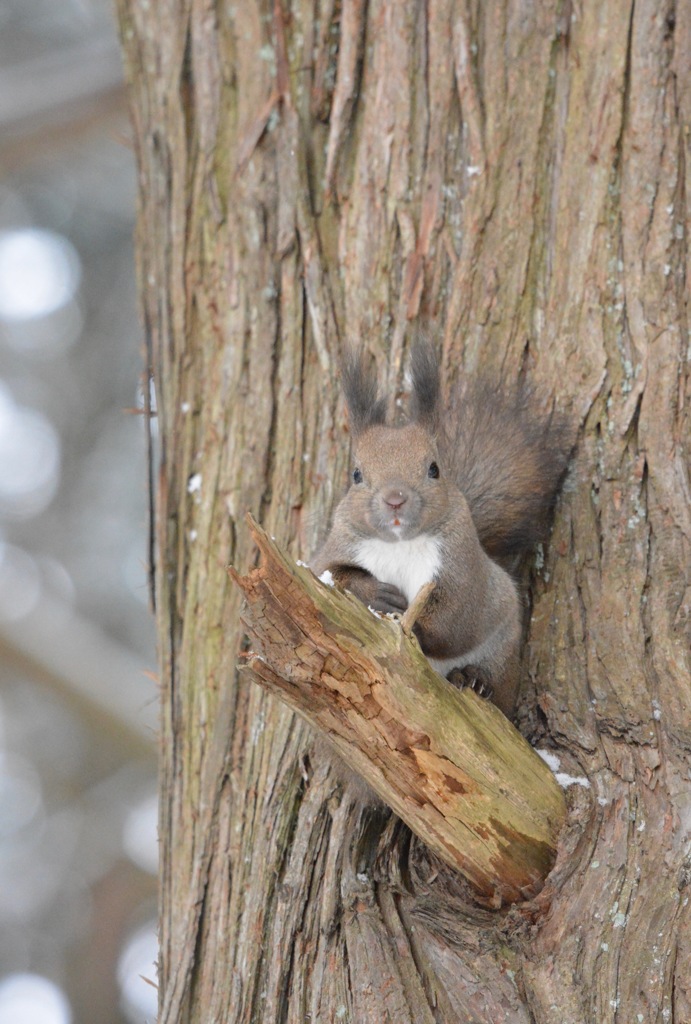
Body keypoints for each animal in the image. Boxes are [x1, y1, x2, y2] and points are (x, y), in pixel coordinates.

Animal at [311, 344, 569, 712]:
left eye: (434, 468)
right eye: (356, 474)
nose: (395, 499)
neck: (399, 543)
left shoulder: (461, 568)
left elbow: (453, 619)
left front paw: (415, 630)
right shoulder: (337, 547)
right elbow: (327, 574)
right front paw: (376, 594)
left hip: (503, 651)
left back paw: (475, 679)